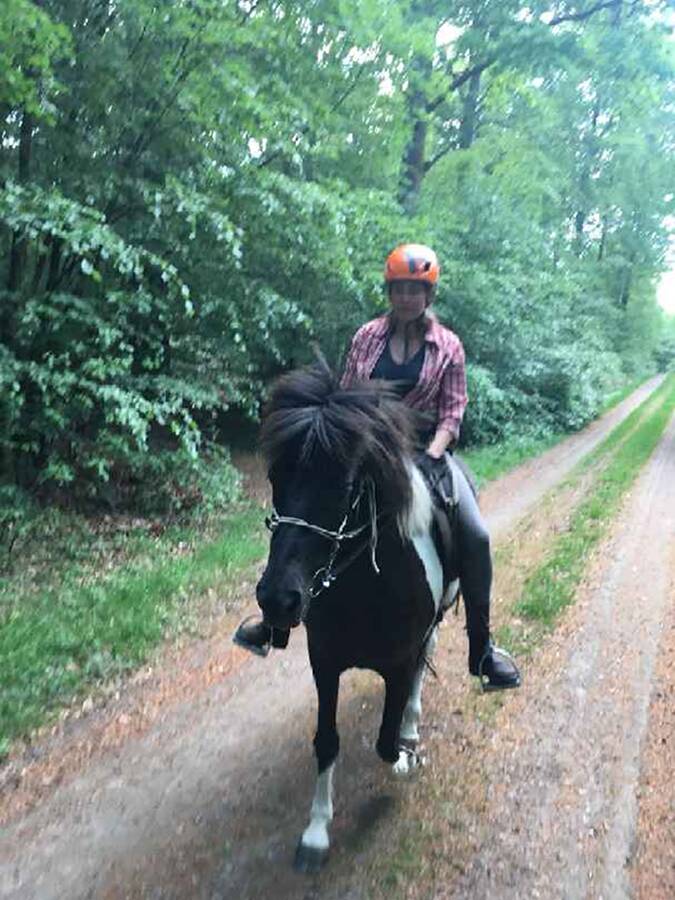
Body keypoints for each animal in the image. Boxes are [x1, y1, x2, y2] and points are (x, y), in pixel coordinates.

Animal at [255, 360, 460, 872]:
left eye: (345, 487)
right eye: (276, 478)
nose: (278, 599)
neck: (366, 590)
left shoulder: (400, 662)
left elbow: (386, 742)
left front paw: (407, 756)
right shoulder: (324, 662)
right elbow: (327, 741)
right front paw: (315, 832)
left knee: (419, 679)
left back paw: (411, 727)